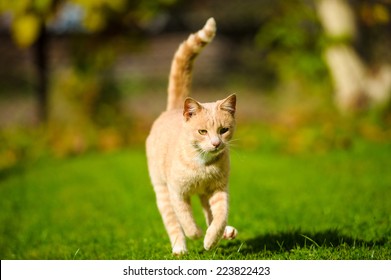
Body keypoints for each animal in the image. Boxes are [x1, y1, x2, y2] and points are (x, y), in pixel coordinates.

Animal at [146, 16, 239, 255]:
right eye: (202, 131)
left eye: (223, 130)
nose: (216, 143)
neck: (203, 166)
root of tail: (174, 108)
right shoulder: (177, 192)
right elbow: (185, 217)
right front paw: (195, 234)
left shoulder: (218, 190)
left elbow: (220, 216)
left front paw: (212, 238)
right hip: (161, 190)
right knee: (173, 222)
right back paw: (180, 248)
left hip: (204, 195)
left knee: (209, 214)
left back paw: (226, 233)